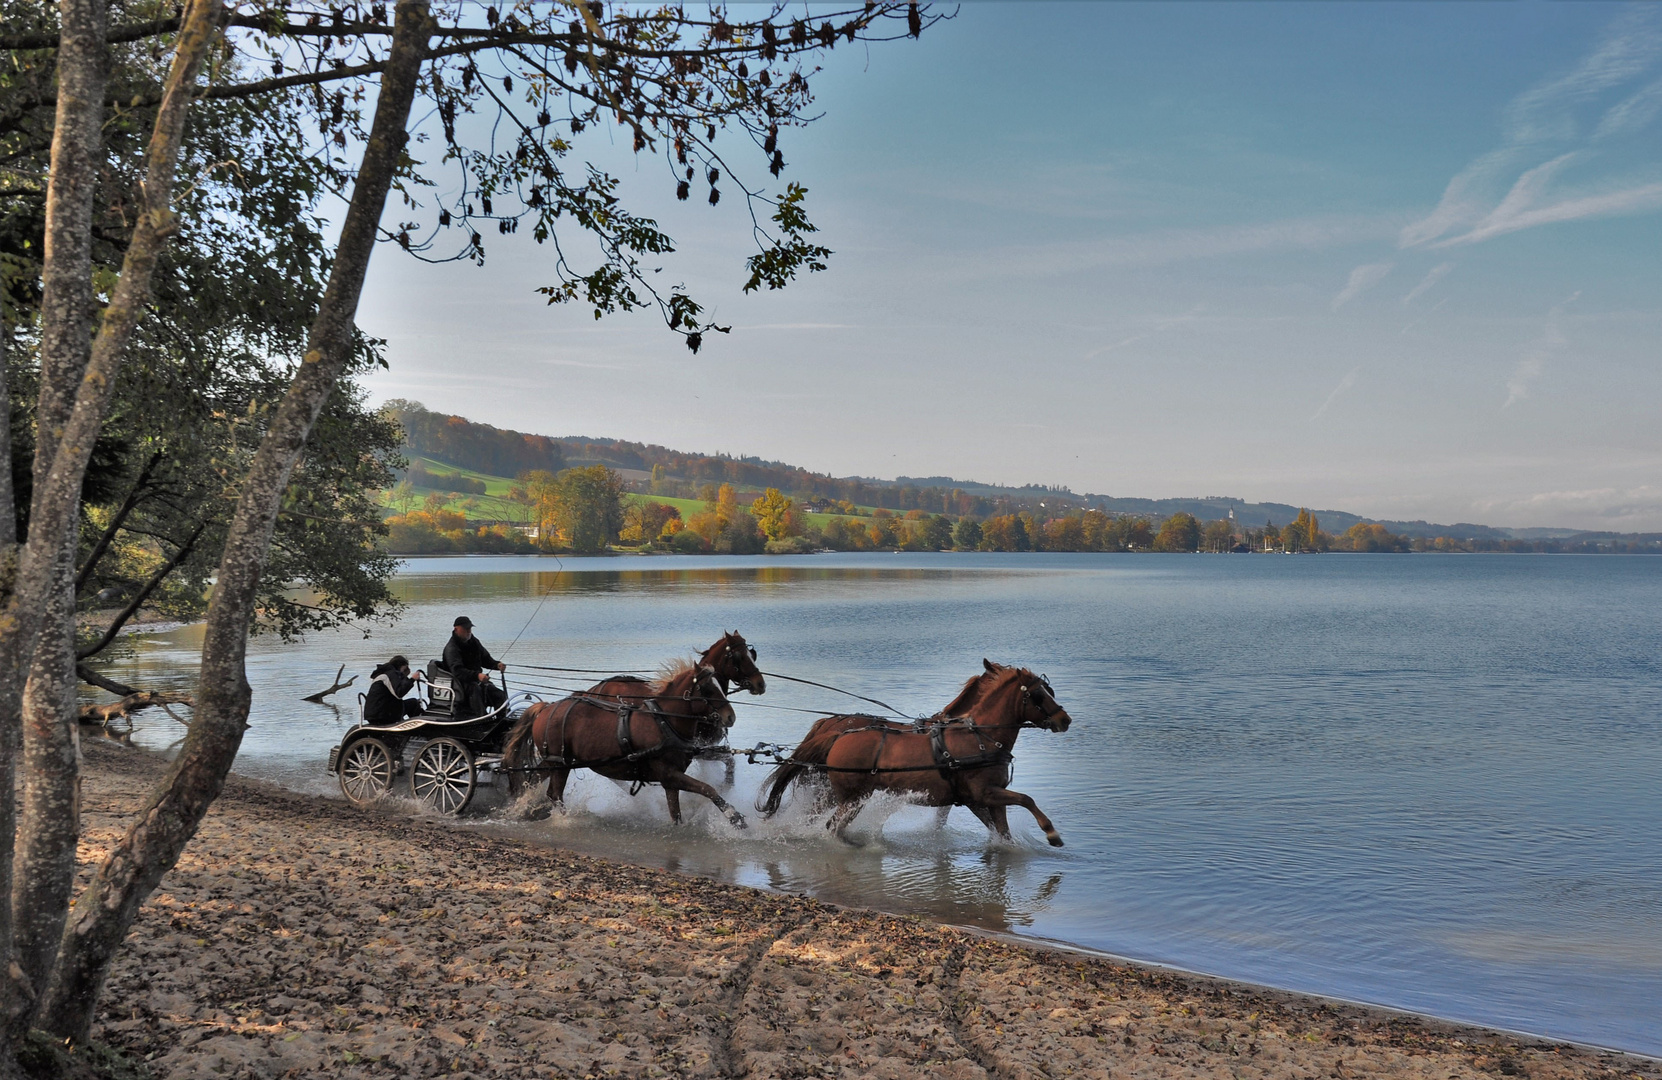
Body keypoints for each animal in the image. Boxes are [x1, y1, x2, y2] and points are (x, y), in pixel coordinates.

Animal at [498, 654, 747, 824]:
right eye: (707, 689)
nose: (731, 717)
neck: (665, 721)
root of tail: (546, 708)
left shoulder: (670, 780)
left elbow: (676, 813)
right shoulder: (669, 774)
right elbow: (708, 789)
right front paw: (735, 817)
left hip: (554, 762)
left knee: (533, 780)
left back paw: (520, 808)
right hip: (560, 763)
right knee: (554, 794)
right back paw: (565, 820)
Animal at [757, 661, 1070, 844]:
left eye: (1049, 689)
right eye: (1040, 694)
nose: (1064, 719)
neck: (980, 736)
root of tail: (837, 732)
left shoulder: (982, 799)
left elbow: (1003, 833)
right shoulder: (985, 793)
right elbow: (1027, 799)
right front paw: (1051, 832)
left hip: (835, 793)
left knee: (816, 817)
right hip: (853, 797)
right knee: (832, 826)